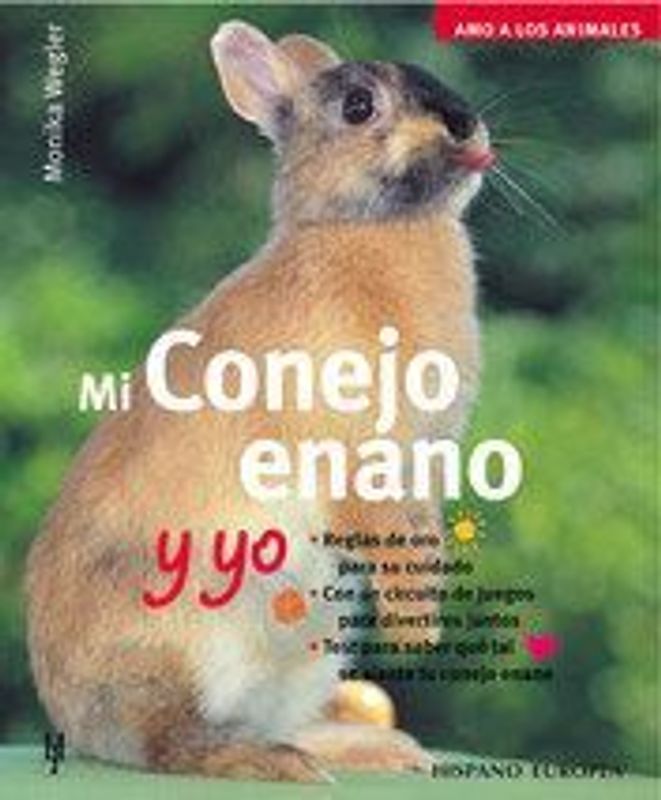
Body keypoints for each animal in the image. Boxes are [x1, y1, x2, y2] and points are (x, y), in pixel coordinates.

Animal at [26, 20, 494, 783]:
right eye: (358, 107)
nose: (465, 123)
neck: (359, 229)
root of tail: (77, 724)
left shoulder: (420, 468)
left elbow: (421, 540)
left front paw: (424, 627)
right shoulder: (352, 456)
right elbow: (378, 529)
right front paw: (415, 634)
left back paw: (371, 751)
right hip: (190, 633)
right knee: (167, 741)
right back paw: (271, 764)